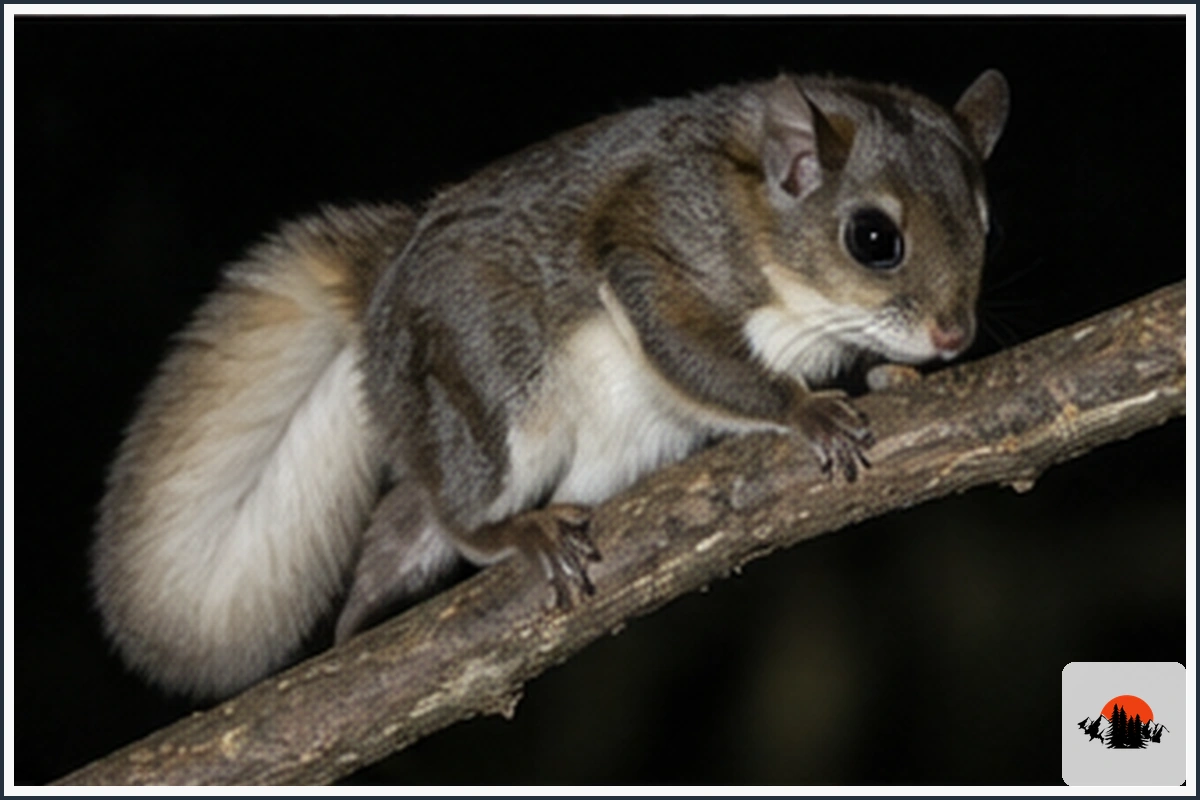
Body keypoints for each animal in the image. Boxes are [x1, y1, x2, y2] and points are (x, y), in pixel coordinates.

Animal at [92, 70, 1009, 699]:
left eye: (986, 223)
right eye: (874, 238)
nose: (955, 336)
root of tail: (380, 295)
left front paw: (887, 377)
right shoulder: (657, 247)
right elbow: (695, 352)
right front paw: (807, 412)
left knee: (404, 522)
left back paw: (358, 627)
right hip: (493, 384)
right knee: (457, 518)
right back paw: (512, 536)